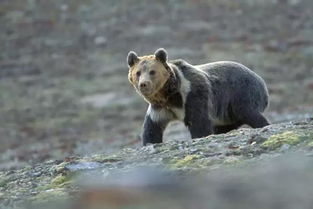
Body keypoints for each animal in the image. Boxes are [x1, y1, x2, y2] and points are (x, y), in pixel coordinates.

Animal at [127, 47, 268, 145]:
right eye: (138, 72)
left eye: (152, 72)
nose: (143, 84)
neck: (171, 96)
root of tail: (261, 81)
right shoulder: (160, 108)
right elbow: (152, 128)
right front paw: (149, 142)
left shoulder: (193, 94)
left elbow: (198, 123)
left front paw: (200, 136)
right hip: (227, 114)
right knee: (224, 126)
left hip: (241, 94)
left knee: (249, 113)